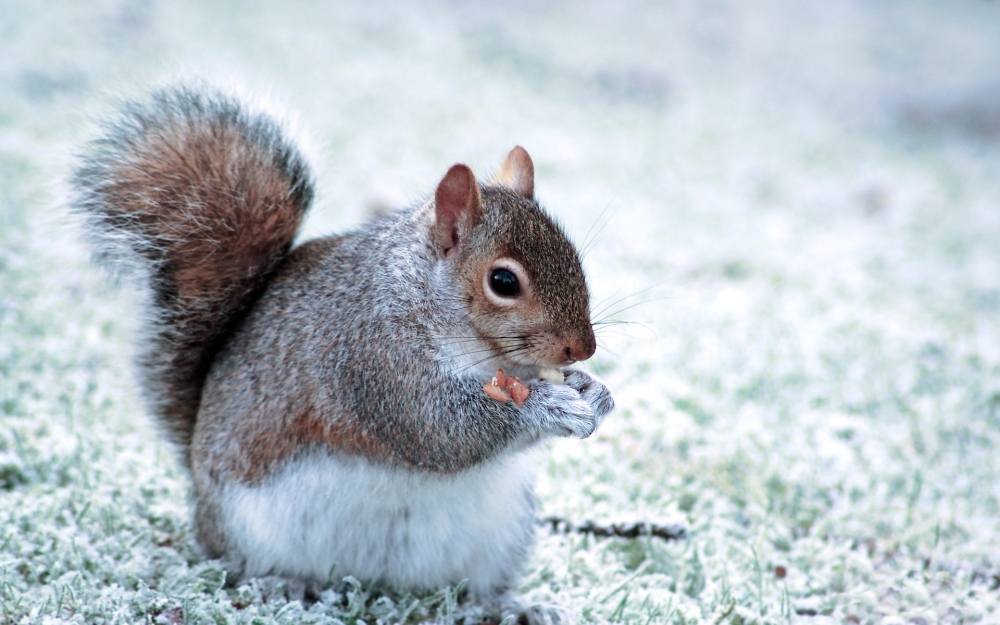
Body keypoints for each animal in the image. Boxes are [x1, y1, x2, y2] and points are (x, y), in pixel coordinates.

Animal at [70, 85, 612, 620]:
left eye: (575, 257)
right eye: (503, 281)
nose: (583, 349)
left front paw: (594, 392)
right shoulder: (370, 356)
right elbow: (440, 430)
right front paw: (549, 406)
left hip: (501, 532)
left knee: (469, 589)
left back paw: (506, 606)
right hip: (249, 528)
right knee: (241, 565)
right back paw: (282, 584)